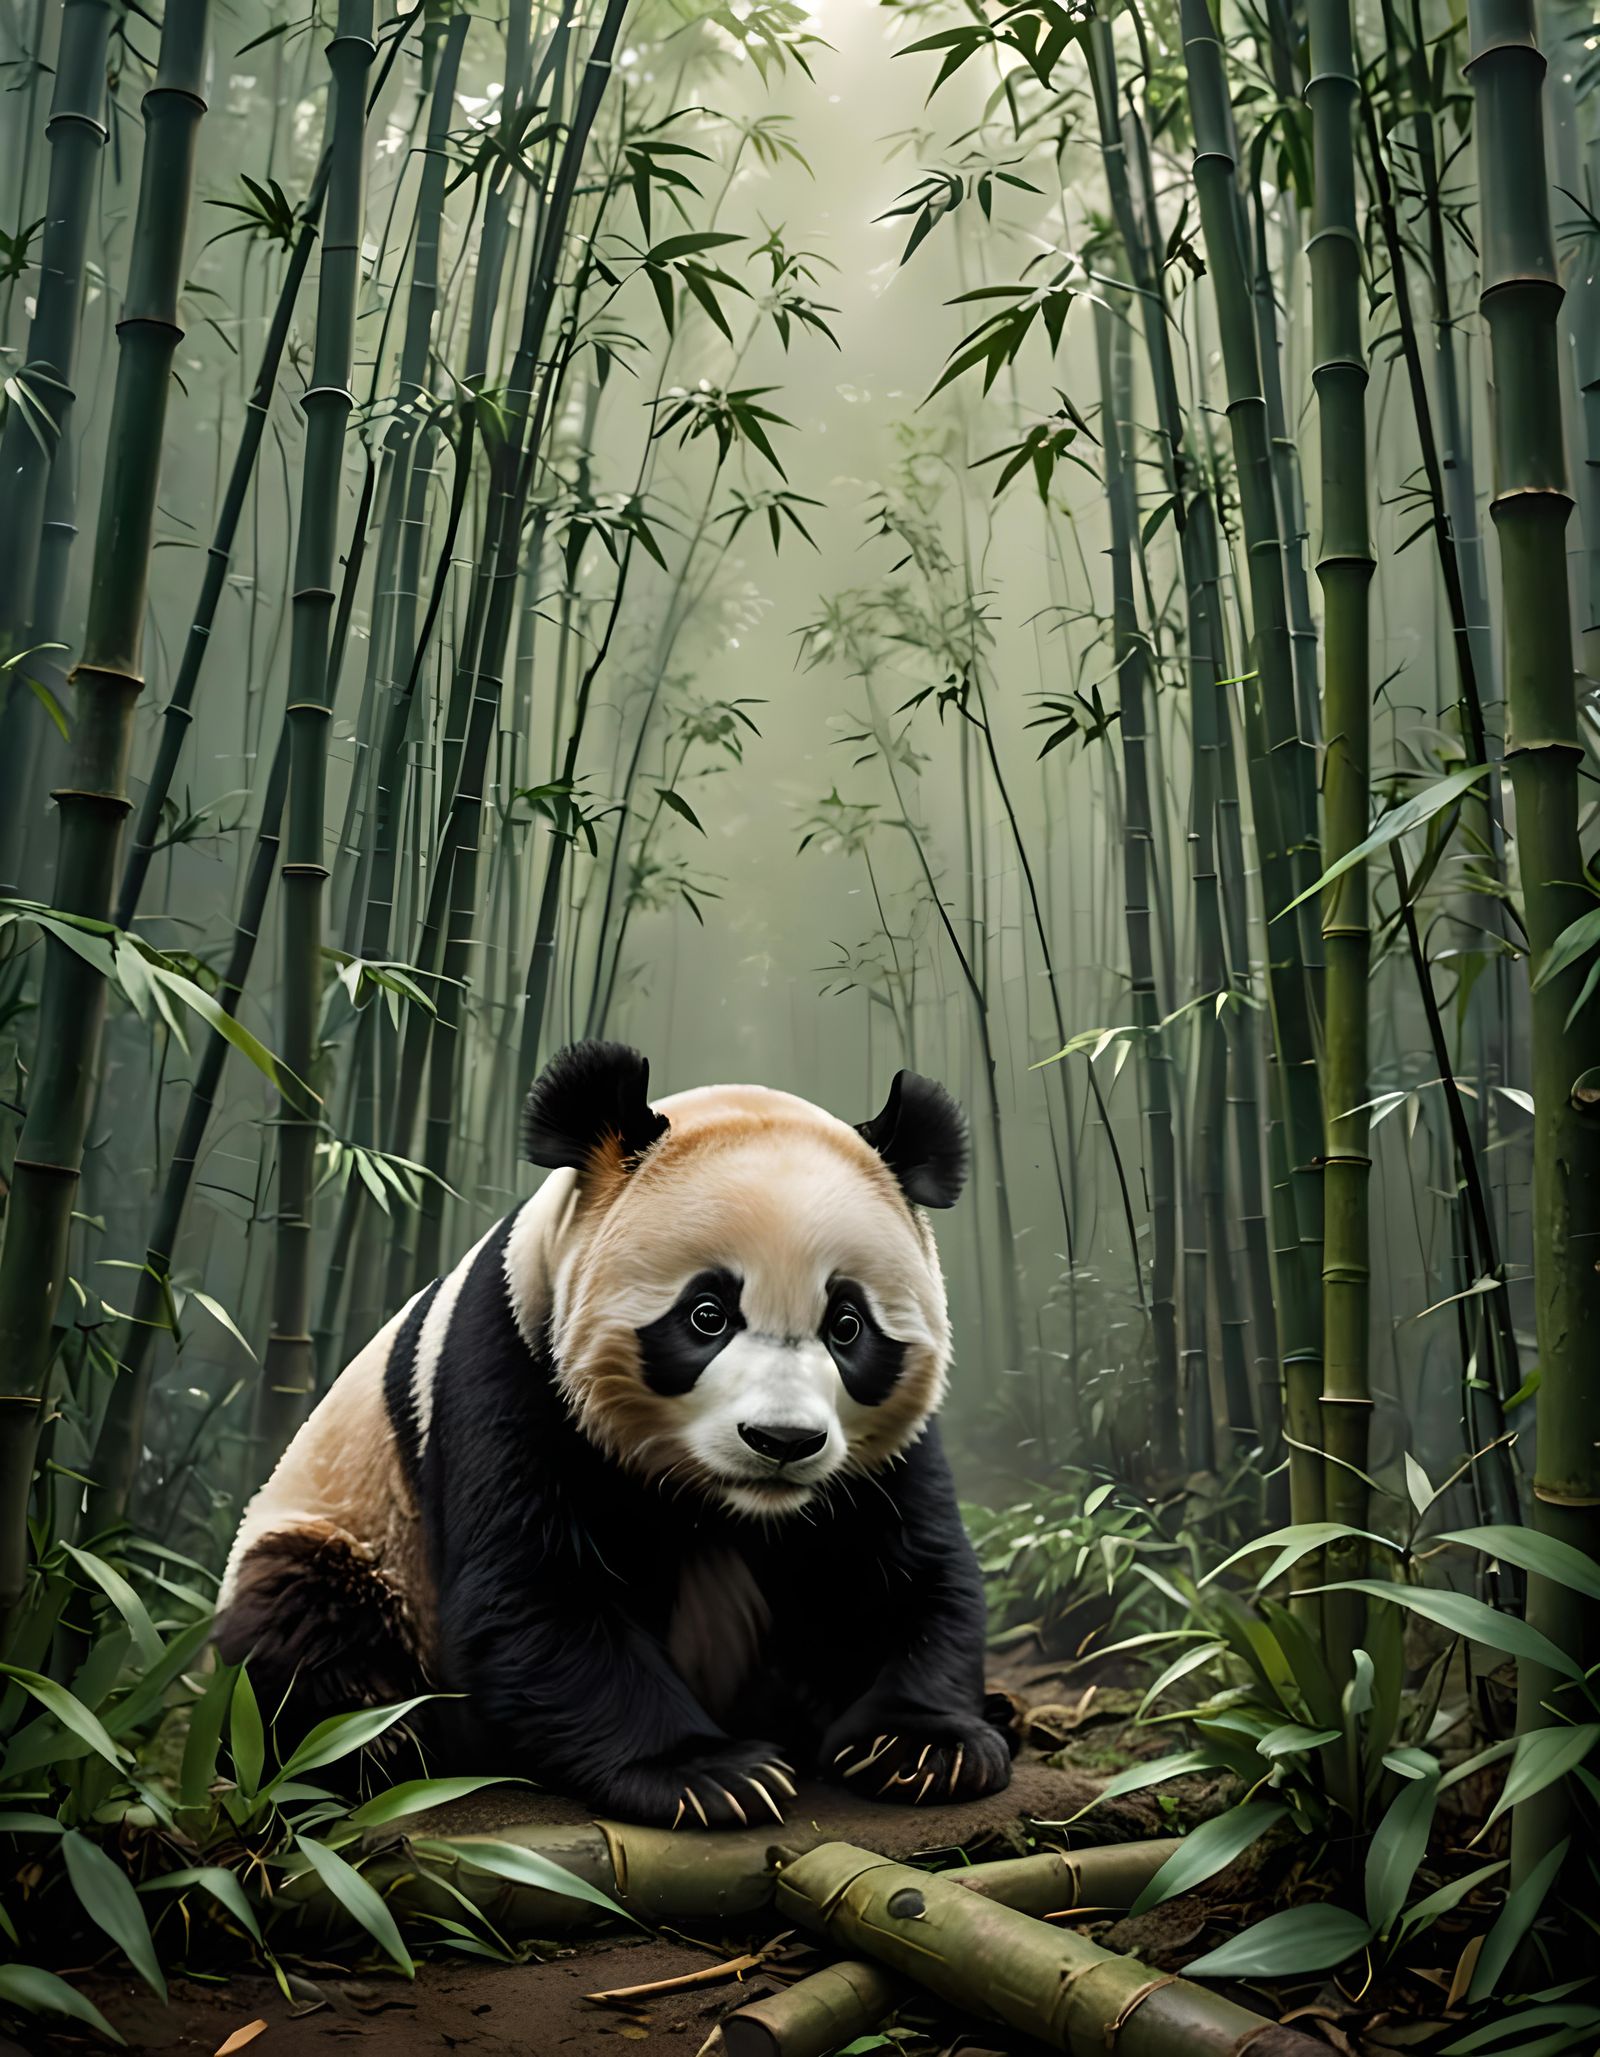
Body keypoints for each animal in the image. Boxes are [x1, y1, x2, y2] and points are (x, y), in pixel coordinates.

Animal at [216, 1041, 1013, 1827]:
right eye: (706, 1315)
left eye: (847, 1325)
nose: (781, 1441)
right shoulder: (514, 1362)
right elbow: (537, 1590)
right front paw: (708, 1774)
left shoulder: (877, 1455)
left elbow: (904, 1569)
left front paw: (924, 1744)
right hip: (351, 1529)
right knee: (303, 1612)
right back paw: (373, 1744)